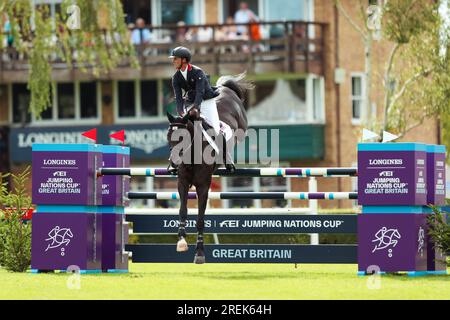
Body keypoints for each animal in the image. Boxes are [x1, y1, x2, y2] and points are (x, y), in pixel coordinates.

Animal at [166, 72, 253, 262]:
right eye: (168, 136)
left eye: (182, 137)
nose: (174, 162)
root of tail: (223, 88)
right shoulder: (182, 183)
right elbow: (182, 211)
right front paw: (181, 241)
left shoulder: (204, 186)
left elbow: (200, 218)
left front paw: (199, 253)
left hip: (242, 125)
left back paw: (229, 162)